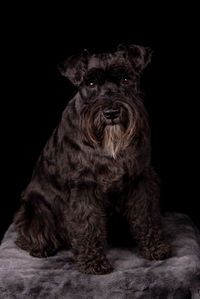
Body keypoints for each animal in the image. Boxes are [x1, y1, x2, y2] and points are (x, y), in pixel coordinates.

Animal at [14, 43, 171, 276]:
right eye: (90, 83)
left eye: (125, 79)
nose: (111, 112)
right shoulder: (84, 186)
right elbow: (87, 224)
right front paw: (93, 262)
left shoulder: (141, 178)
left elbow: (147, 214)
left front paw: (155, 247)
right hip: (35, 209)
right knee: (28, 232)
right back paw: (41, 247)